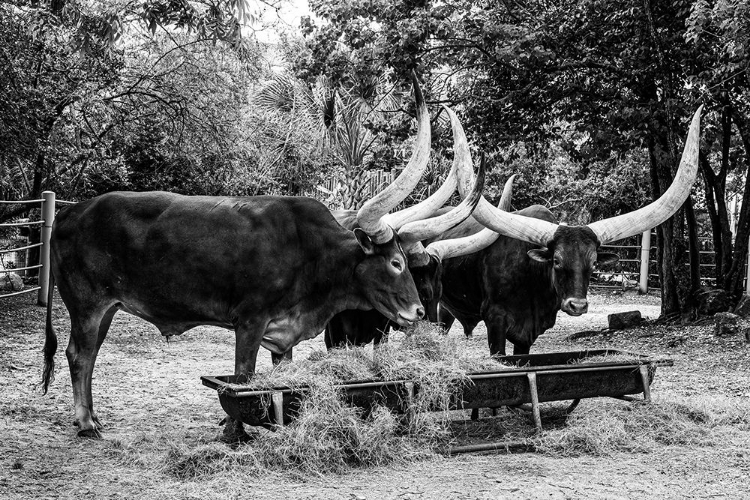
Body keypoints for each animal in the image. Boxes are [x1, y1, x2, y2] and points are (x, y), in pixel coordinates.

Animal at [41, 75, 438, 442]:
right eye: (396, 263)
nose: (418, 311)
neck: (311, 251)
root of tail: (71, 211)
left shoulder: (283, 334)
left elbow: (280, 381)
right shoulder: (249, 321)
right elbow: (242, 378)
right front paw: (236, 431)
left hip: (107, 307)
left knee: (90, 355)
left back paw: (92, 416)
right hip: (87, 305)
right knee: (79, 354)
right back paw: (86, 423)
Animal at [434, 105, 704, 356]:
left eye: (594, 263)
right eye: (556, 260)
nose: (578, 306)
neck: (531, 279)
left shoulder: (526, 334)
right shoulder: (495, 319)